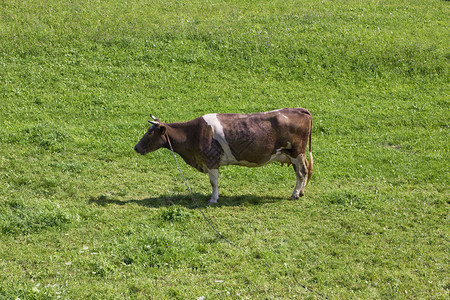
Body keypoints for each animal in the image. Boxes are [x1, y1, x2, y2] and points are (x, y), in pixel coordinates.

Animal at [134, 108, 312, 204]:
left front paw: (213, 199)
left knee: (302, 173)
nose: (136, 148)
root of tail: (297, 109)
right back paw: (301, 192)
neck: (193, 133)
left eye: (150, 133)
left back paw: (295, 194)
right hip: (294, 156)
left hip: (297, 152)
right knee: (304, 173)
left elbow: (213, 182)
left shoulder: (211, 160)